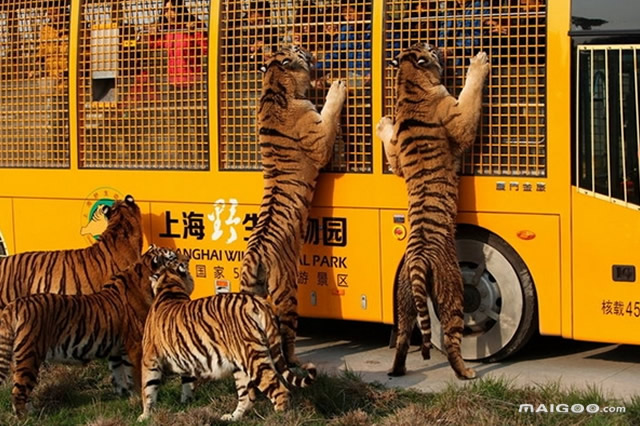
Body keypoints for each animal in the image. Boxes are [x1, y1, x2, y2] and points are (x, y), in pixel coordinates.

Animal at [0, 245, 176, 414]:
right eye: (171, 257)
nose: (180, 254)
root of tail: (14, 305)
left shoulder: (117, 346)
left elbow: (120, 372)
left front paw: (125, 395)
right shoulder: (135, 345)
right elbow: (137, 375)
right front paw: (140, 399)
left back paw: (32, 411)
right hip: (30, 355)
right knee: (18, 391)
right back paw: (25, 417)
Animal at [141, 258, 318, 422]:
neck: (169, 287)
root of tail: (259, 302)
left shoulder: (149, 359)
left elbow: (148, 389)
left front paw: (144, 416)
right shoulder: (185, 360)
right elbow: (187, 384)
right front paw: (186, 403)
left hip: (254, 361)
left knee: (280, 391)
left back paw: (278, 418)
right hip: (241, 365)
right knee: (247, 397)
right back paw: (232, 417)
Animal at [240, 45, 348, 366]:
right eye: (297, 49)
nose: (308, 48)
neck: (274, 86)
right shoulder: (320, 138)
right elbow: (329, 113)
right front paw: (337, 86)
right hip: (286, 289)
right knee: (286, 333)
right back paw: (297, 362)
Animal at [376, 41, 490, 378]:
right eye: (426, 46)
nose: (437, 44)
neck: (409, 82)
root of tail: (417, 259)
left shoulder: (398, 159)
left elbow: (391, 148)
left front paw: (384, 123)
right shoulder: (459, 117)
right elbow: (470, 95)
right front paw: (478, 63)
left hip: (404, 298)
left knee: (403, 336)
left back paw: (397, 371)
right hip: (452, 289)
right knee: (451, 338)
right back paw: (465, 372)